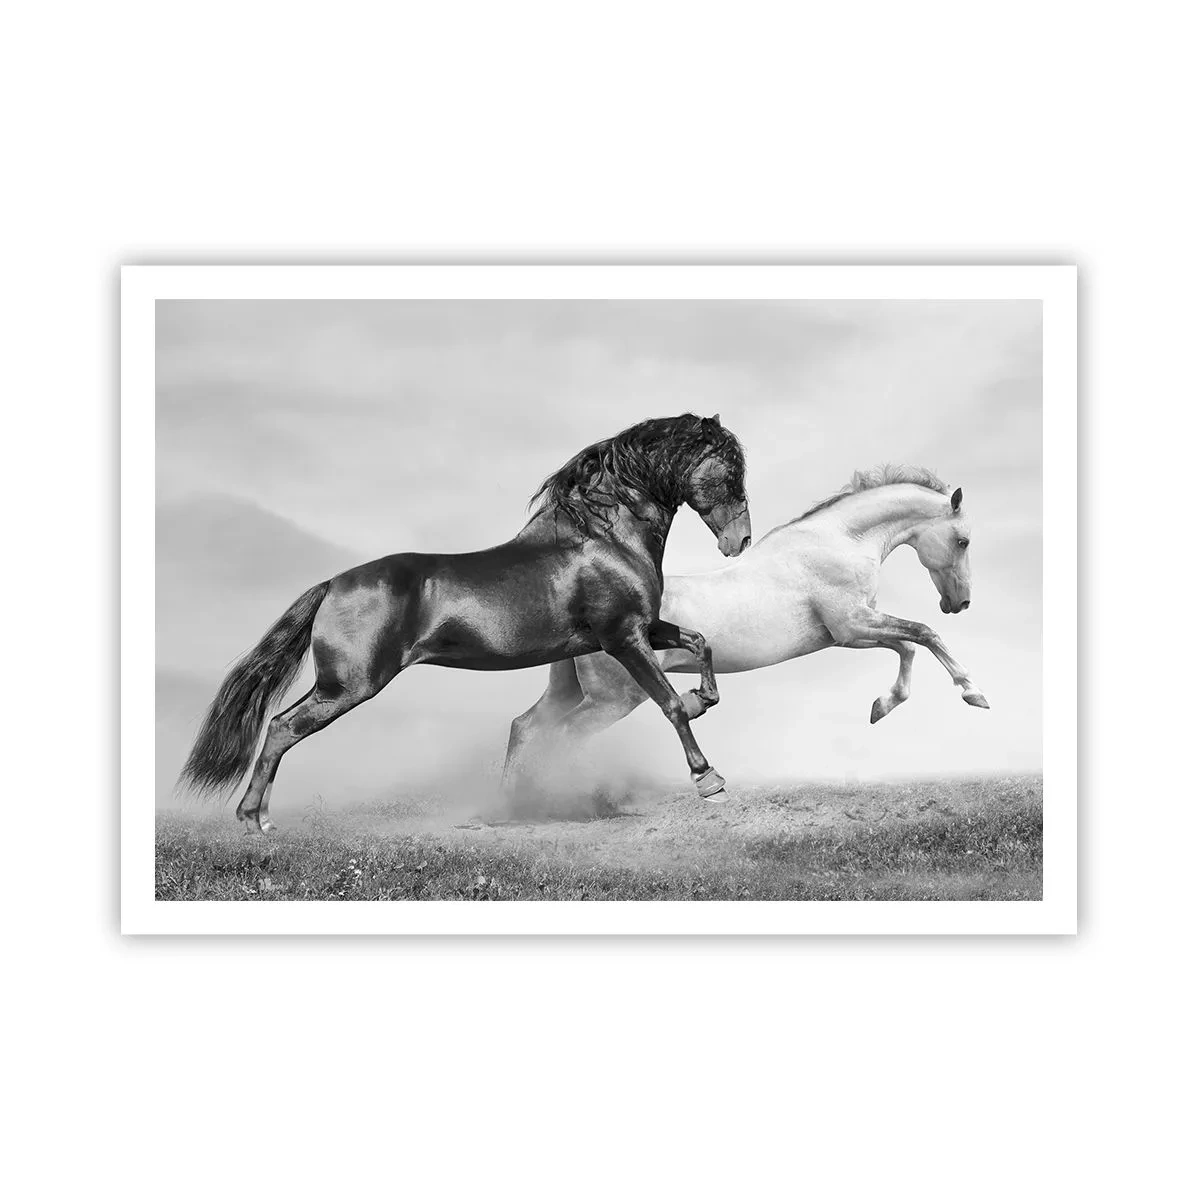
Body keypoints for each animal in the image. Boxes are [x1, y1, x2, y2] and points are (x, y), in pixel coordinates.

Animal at [180, 413, 753, 831]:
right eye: (730, 471)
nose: (740, 541)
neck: (602, 539)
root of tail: (333, 584)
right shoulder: (622, 637)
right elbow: (669, 704)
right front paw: (709, 780)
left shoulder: (643, 627)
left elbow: (699, 643)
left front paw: (704, 699)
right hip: (349, 684)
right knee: (281, 726)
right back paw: (254, 820)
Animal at [503, 465, 988, 790]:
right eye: (963, 540)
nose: (960, 603)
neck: (839, 543)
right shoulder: (852, 627)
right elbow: (923, 634)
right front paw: (974, 693)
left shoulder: (852, 633)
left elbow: (908, 647)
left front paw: (881, 706)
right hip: (612, 700)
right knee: (561, 737)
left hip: (572, 692)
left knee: (526, 727)